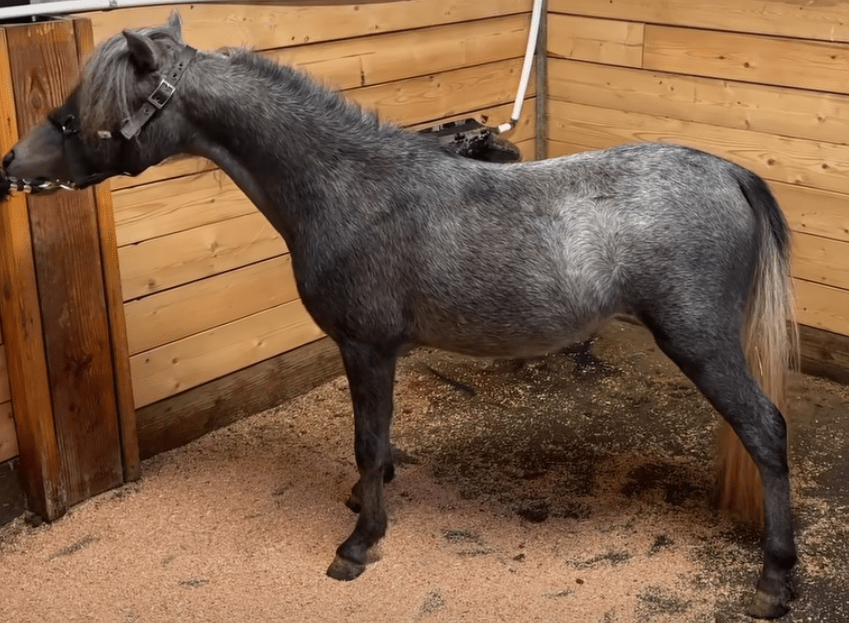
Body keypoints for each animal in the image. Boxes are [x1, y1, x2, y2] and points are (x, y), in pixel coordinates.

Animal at [2, 14, 797, 619]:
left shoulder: (366, 346)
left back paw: (776, 577)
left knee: (765, 430)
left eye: (76, 114)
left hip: (700, 342)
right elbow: (377, 443)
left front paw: (359, 542)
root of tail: (729, 172)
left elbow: (366, 440)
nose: (13, 163)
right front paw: (366, 502)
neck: (349, 187)